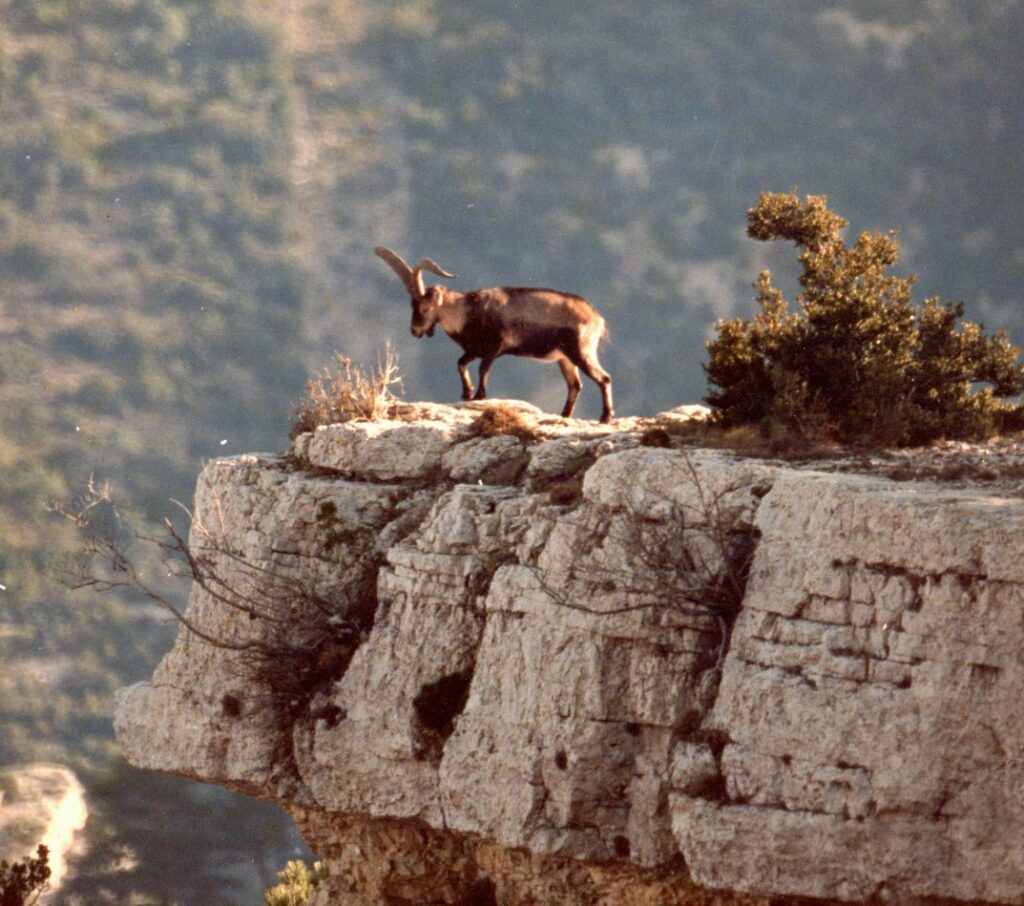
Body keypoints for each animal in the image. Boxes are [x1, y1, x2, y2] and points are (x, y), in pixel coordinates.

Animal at [376, 243, 614, 419]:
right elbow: (461, 363)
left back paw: (605, 417)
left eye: (425, 308)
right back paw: (564, 415)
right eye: (412, 306)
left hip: (581, 351)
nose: (414, 331)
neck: (466, 311)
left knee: (604, 378)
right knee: (575, 385)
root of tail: (596, 317)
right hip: (565, 358)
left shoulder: (493, 348)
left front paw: (478, 395)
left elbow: (483, 370)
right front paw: (466, 393)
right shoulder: (474, 350)